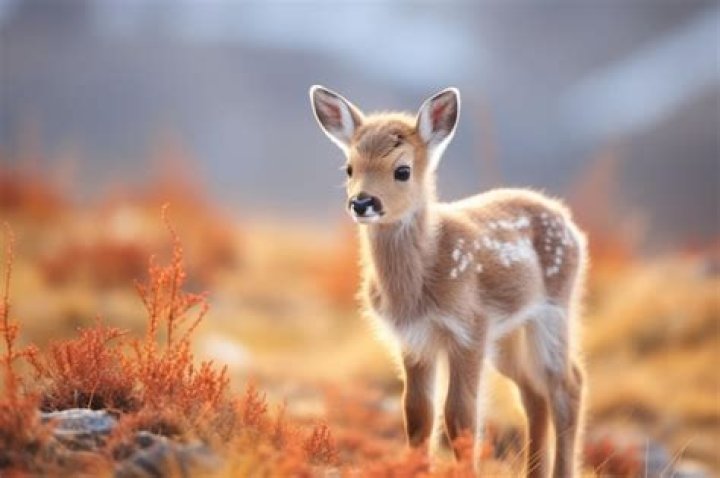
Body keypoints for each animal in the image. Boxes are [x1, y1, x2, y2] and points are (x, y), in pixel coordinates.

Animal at [309, 85, 587, 478]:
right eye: (350, 168)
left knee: (568, 385)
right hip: (509, 336)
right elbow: (417, 415)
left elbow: (460, 418)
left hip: (554, 309)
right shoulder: (414, 338)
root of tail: (570, 223)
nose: (362, 202)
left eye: (402, 170)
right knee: (534, 393)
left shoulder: (469, 327)